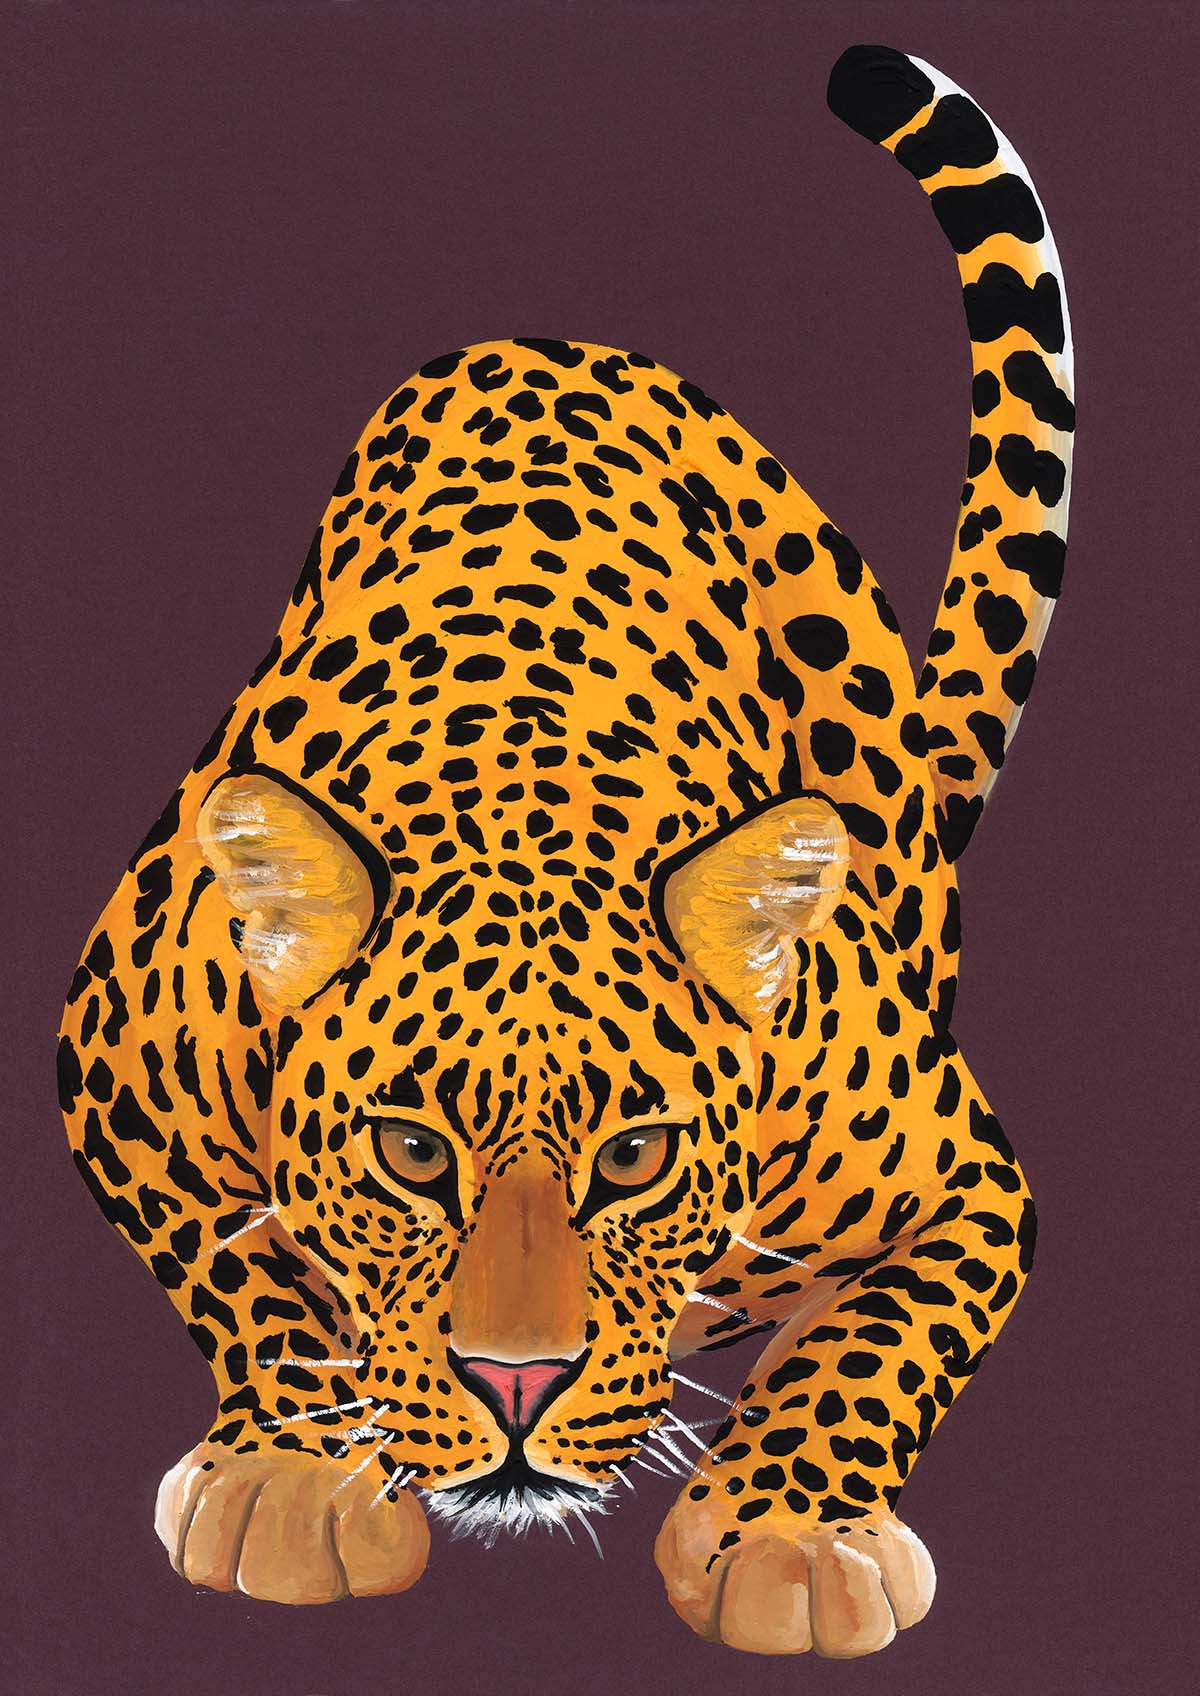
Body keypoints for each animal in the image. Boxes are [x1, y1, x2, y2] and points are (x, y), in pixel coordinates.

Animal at [58, 45, 1073, 1657]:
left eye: (637, 1158)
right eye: (411, 1151)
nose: (516, 1384)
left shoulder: (968, 1179)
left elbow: (877, 1336)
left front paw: (787, 1533)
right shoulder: (111, 1074)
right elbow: (234, 1260)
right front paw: (294, 1473)